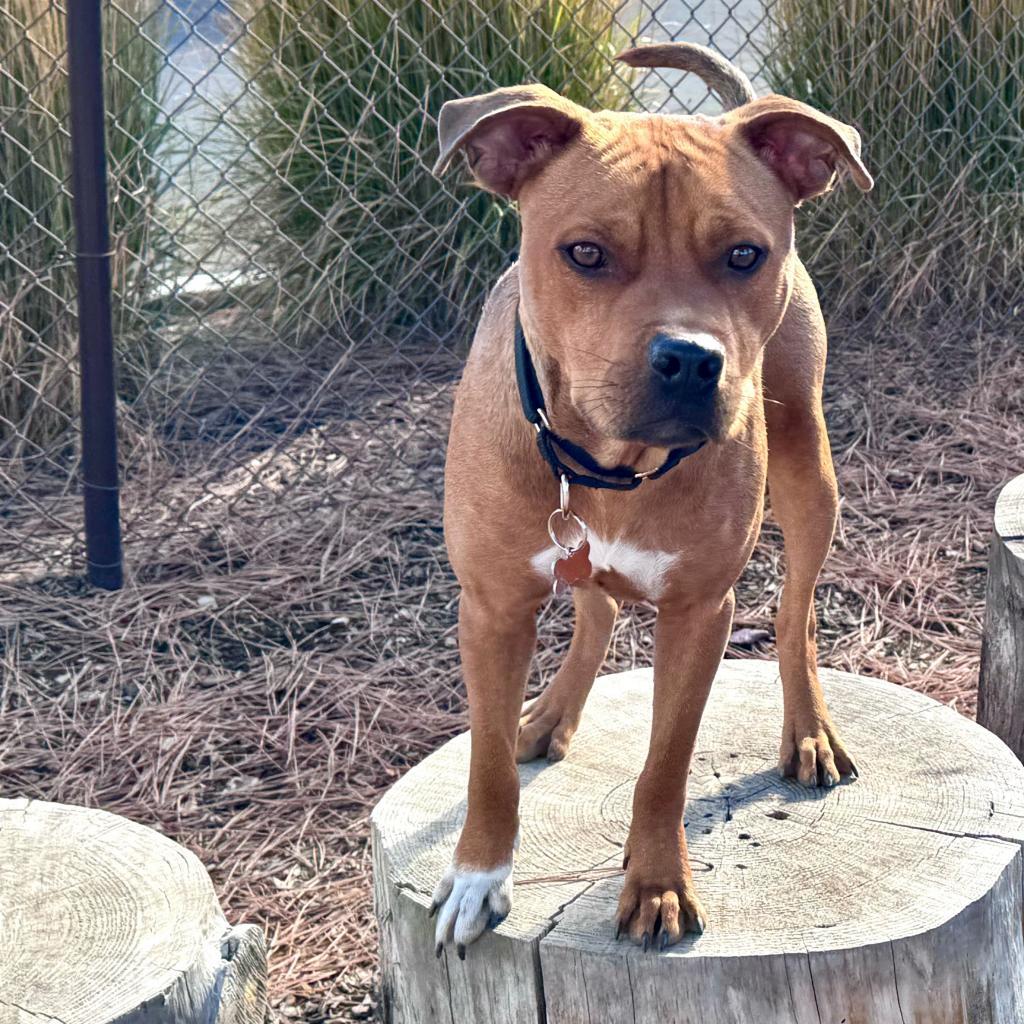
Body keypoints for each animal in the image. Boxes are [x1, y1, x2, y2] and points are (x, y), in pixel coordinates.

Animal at [428, 44, 868, 958]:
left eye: (744, 255)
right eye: (586, 254)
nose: (691, 359)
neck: (608, 466)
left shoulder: (700, 609)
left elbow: (665, 765)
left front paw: (658, 882)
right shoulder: (490, 606)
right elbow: (486, 762)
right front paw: (480, 874)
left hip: (809, 473)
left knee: (797, 615)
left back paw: (808, 729)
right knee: (594, 607)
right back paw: (549, 714)